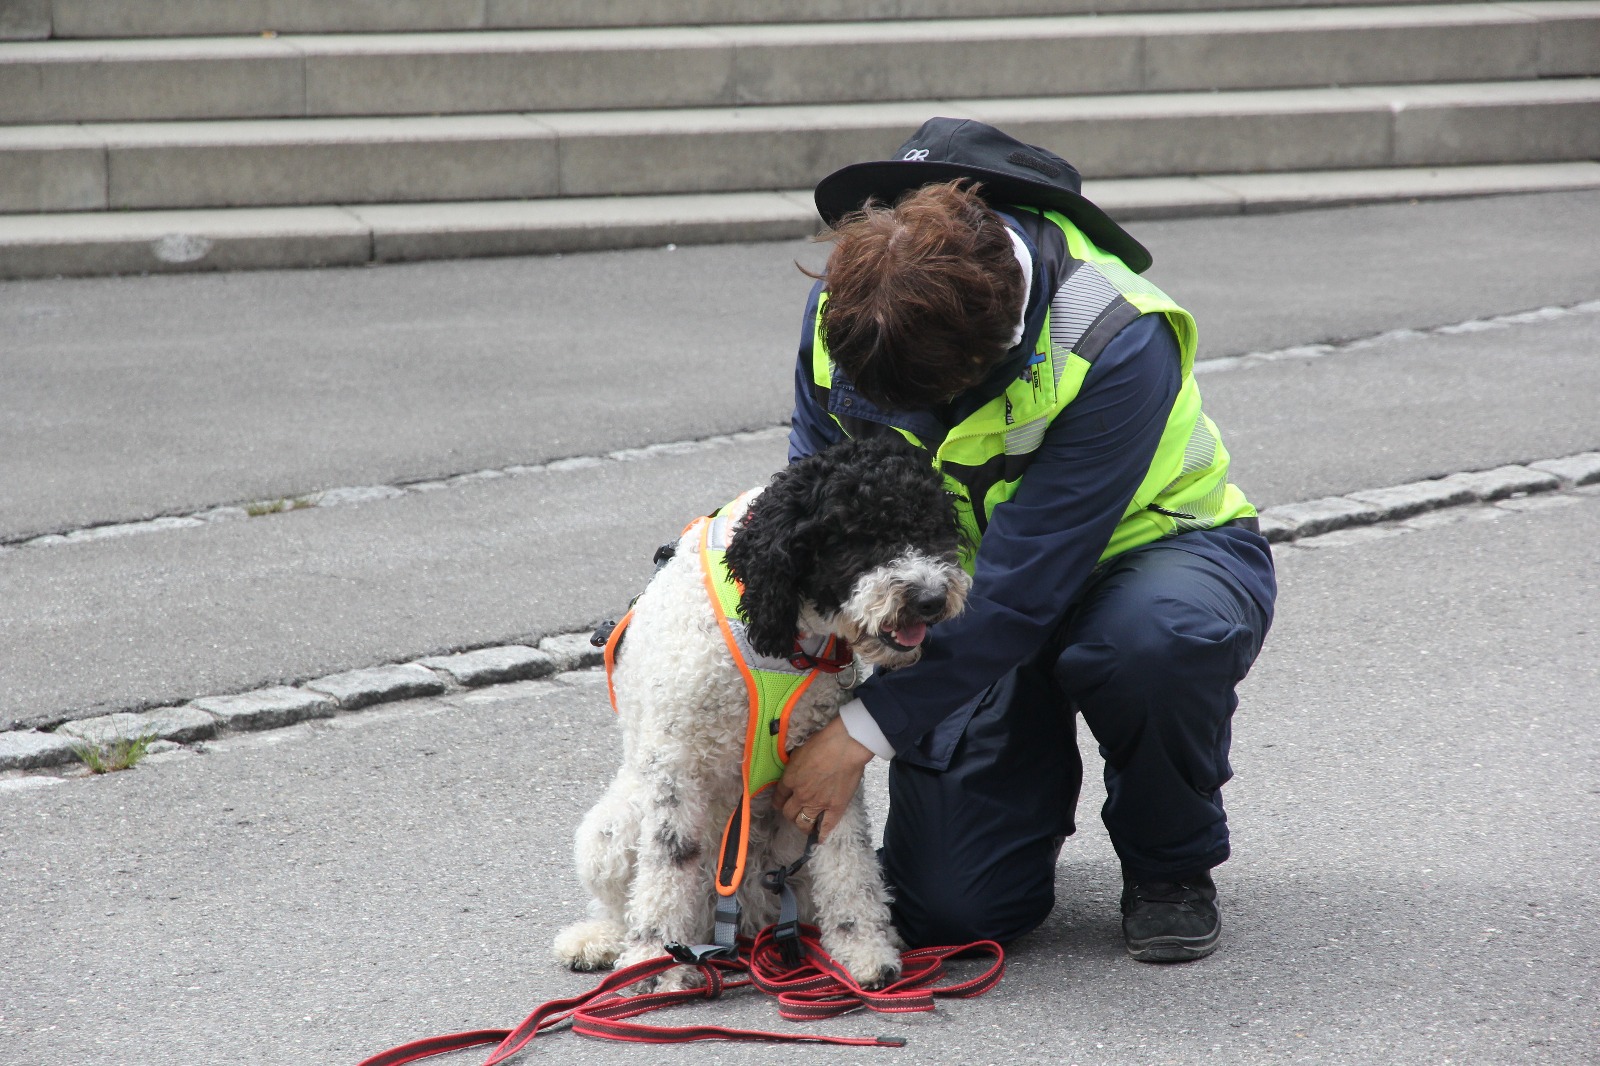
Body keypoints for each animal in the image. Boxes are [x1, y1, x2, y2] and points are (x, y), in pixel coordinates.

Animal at [556, 432, 966, 985]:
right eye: (861, 538)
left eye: (930, 528)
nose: (931, 599)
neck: (774, 634)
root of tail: (739, 923)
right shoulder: (677, 768)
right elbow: (666, 865)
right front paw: (654, 965)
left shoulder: (828, 772)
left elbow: (849, 864)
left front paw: (863, 949)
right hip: (610, 831)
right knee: (624, 900)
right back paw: (600, 941)